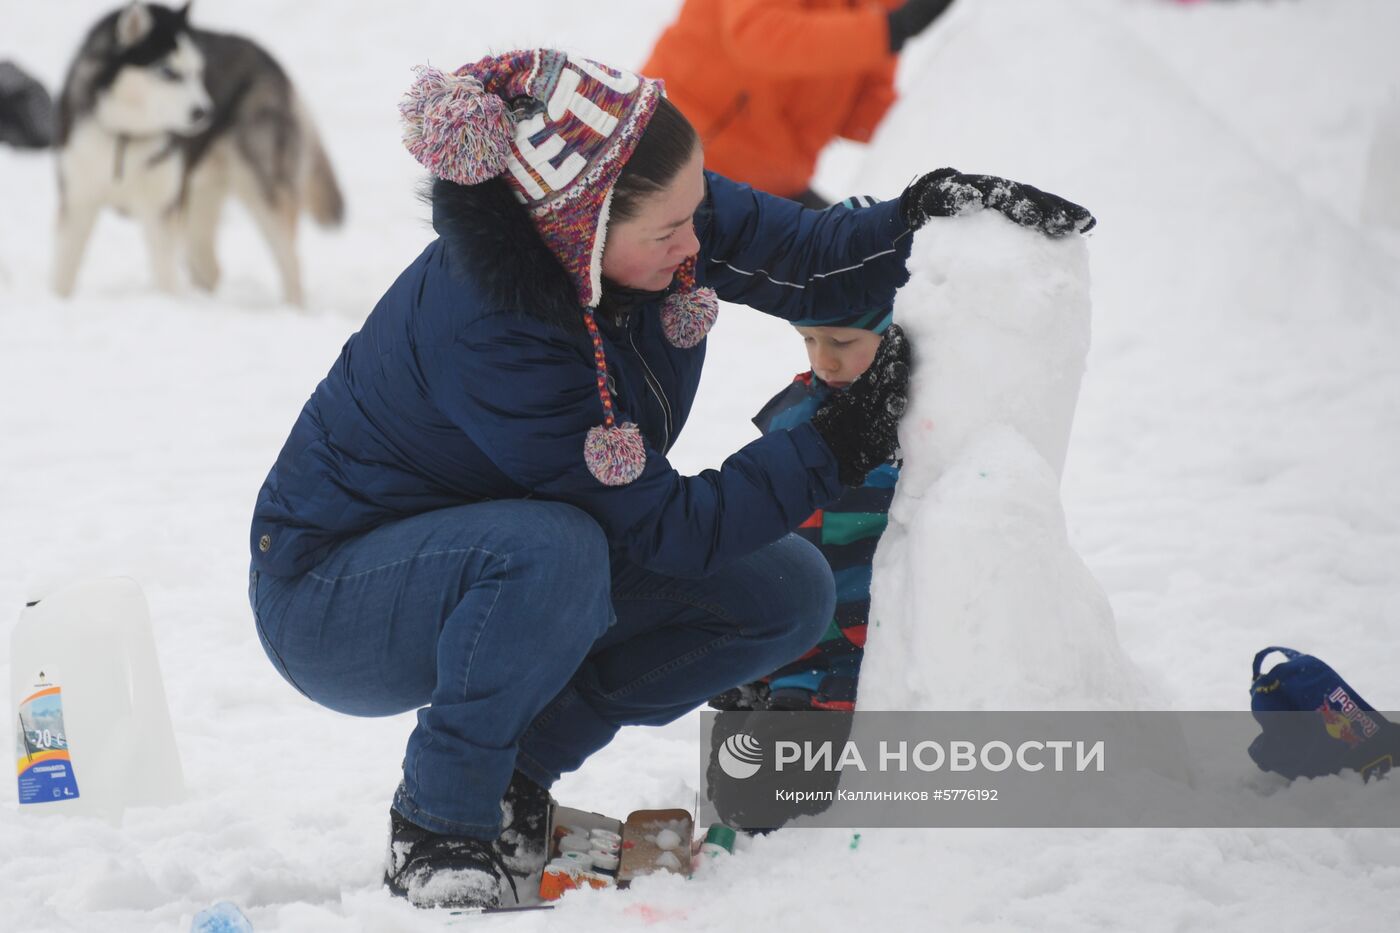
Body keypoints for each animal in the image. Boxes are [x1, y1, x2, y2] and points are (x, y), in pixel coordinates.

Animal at [53, 1, 343, 303]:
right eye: (168, 72)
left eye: (197, 72)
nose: (205, 113)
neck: (126, 136)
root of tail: (271, 61)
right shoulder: (77, 199)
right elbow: (62, 273)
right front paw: (57, 299)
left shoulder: (160, 209)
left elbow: (166, 278)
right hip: (196, 199)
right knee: (210, 267)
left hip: (262, 190)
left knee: (291, 264)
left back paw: (292, 307)